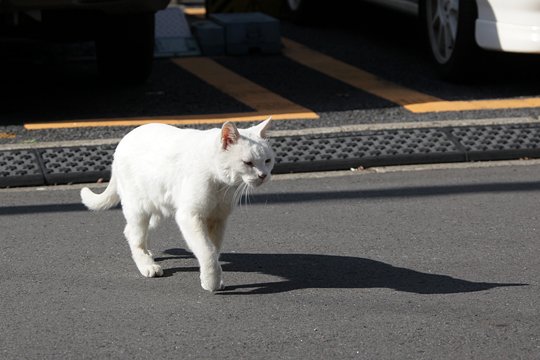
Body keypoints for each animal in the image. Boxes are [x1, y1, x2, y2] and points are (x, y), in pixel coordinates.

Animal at [80, 118, 274, 292]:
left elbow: (214, 250)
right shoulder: (190, 216)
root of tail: (122, 142)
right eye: (247, 163)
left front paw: (213, 278)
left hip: (156, 210)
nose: (263, 175)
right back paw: (147, 265)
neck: (221, 184)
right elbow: (207, 252)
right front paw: (211, 282)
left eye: (268, 161)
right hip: (138, 209)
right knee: (135, 237)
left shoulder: (218, 219)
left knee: (132, 232)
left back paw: (148, 254)